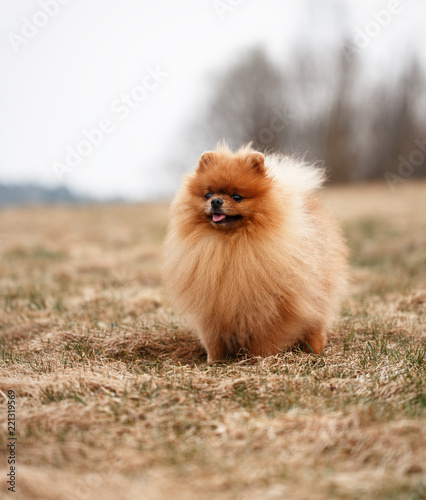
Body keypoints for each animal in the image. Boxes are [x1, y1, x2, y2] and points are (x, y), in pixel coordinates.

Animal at [161, 143, 348, 362]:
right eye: (208, 194)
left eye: (237, 197)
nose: (216, 201)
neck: (229, 244)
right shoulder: (211, 308)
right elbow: (213, 339)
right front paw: (214, 361)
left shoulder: (270, 307)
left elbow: (265, 336)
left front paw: (260, 359)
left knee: (316, 323)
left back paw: (314, 349)